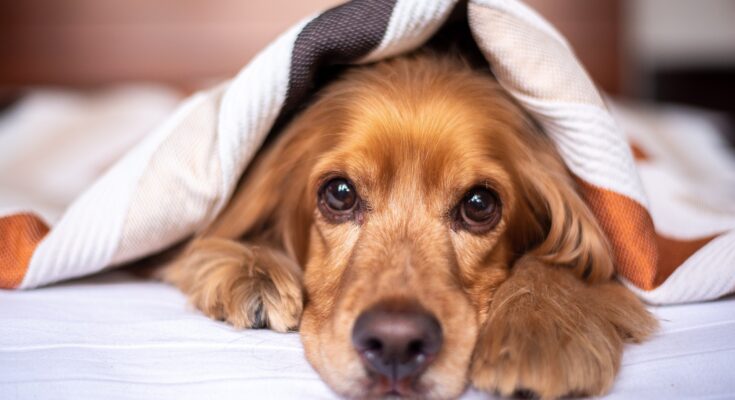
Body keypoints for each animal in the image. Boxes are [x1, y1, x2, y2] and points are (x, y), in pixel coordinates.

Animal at [160, 54, 656, 400]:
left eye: (479, 204)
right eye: (339, 193)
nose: (395, 343)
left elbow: (565, 262)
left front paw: (541, 329)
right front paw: (253, 271)